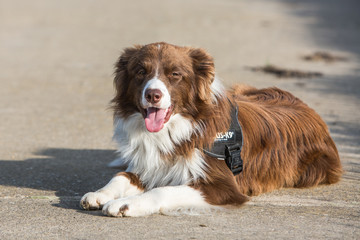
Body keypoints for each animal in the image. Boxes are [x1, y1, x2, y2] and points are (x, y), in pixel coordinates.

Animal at [80, 42, 342, 217]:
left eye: (175, 74)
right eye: (140, 72)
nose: (153, 94)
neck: (177, 129)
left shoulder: (224, 186)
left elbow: (165, 190)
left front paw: (127, 204)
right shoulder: (152, 164)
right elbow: (121, 175)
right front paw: (100, 193)